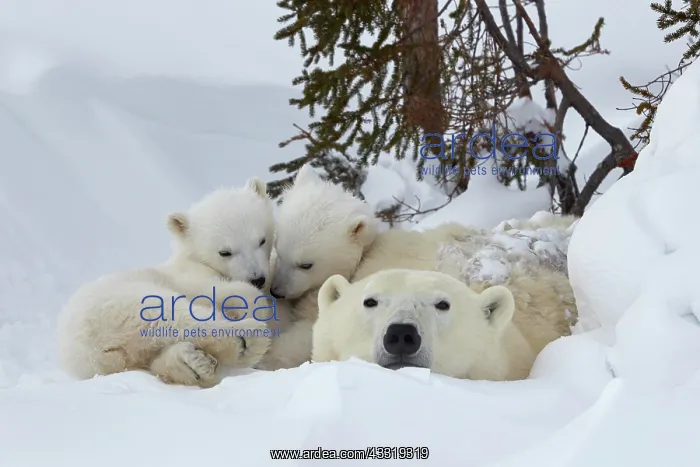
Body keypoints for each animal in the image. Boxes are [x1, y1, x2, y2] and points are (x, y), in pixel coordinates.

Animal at [57, 177, 276, 387]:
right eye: (225, 252)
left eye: (262, 240)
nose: (258, 278)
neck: (191, 257)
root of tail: (88, 347)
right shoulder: (189, 276)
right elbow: (222, 291)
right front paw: (252, 305)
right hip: (125, 302)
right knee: (176, 314)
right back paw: (246, 341)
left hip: (115, 358)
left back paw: (195, 364)